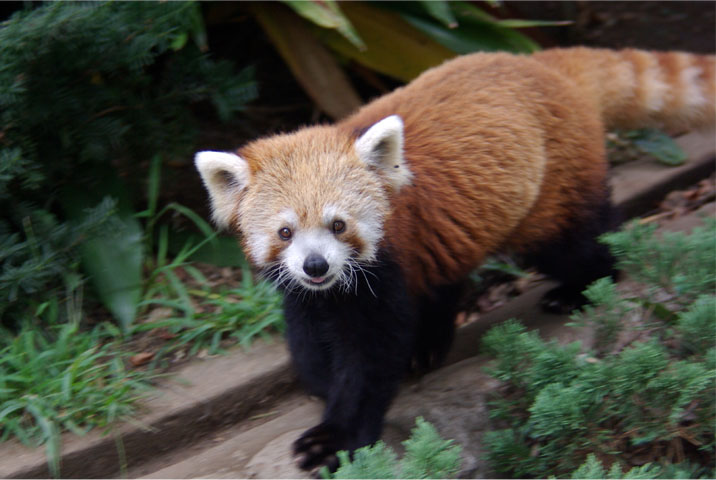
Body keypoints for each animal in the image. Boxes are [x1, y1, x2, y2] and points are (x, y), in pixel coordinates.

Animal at [193, 48, 712, 472]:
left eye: (338, 225)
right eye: (285, 232)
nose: (316, 266)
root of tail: (538, 61)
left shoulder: (385, 265)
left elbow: (371, 357)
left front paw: (334, 438)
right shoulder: (308, 289)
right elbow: (307, 324)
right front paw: (319, 375)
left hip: (551, 186)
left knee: (573, 242)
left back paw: (584, 285)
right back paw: (431, 343)